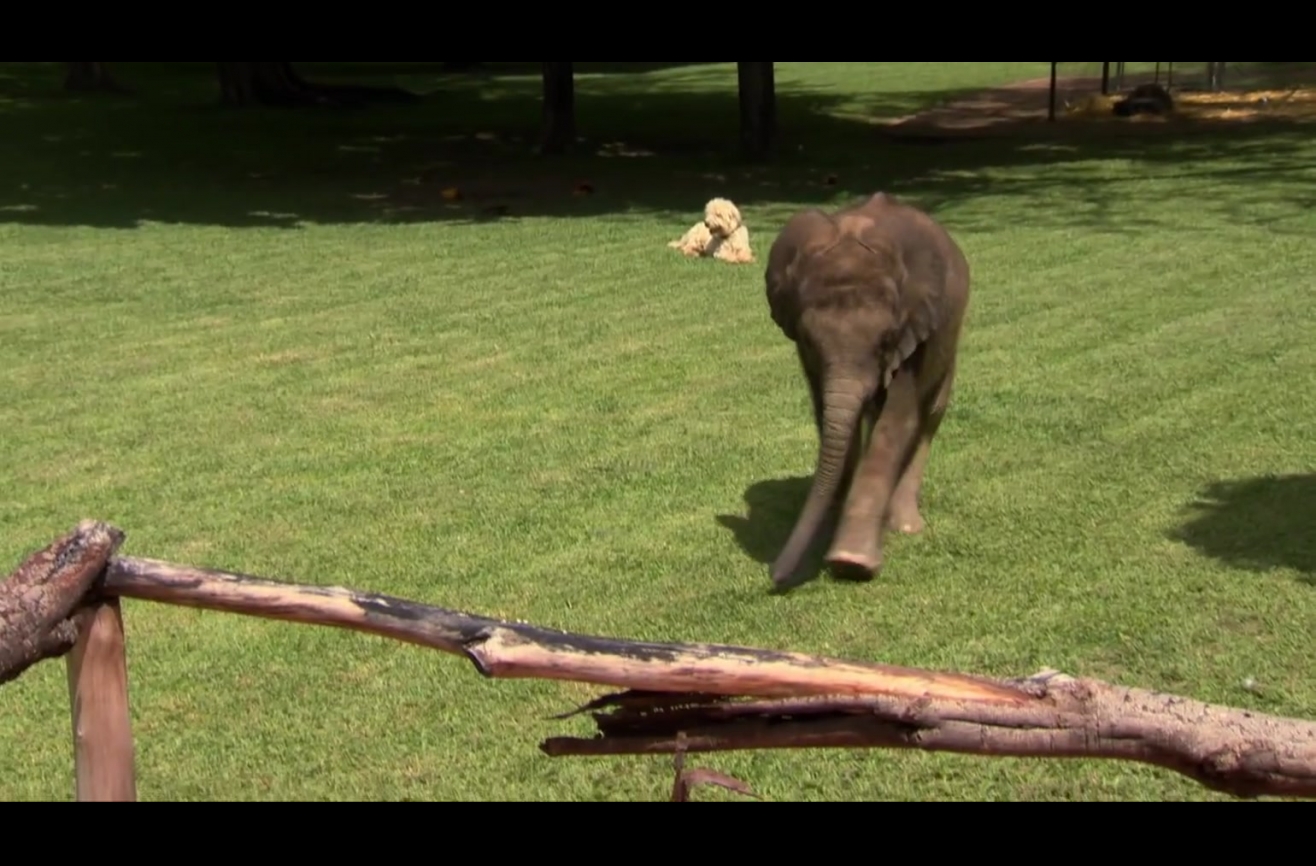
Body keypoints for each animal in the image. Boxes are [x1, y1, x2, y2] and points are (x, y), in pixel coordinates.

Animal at [763, 192, 970, 587]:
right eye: (809, 340)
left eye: (886, 340)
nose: (777, 576)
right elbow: (827, 413)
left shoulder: (917, 328)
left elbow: (897, 421)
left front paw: (851, 562)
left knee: (930, 415)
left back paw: (904, 526)